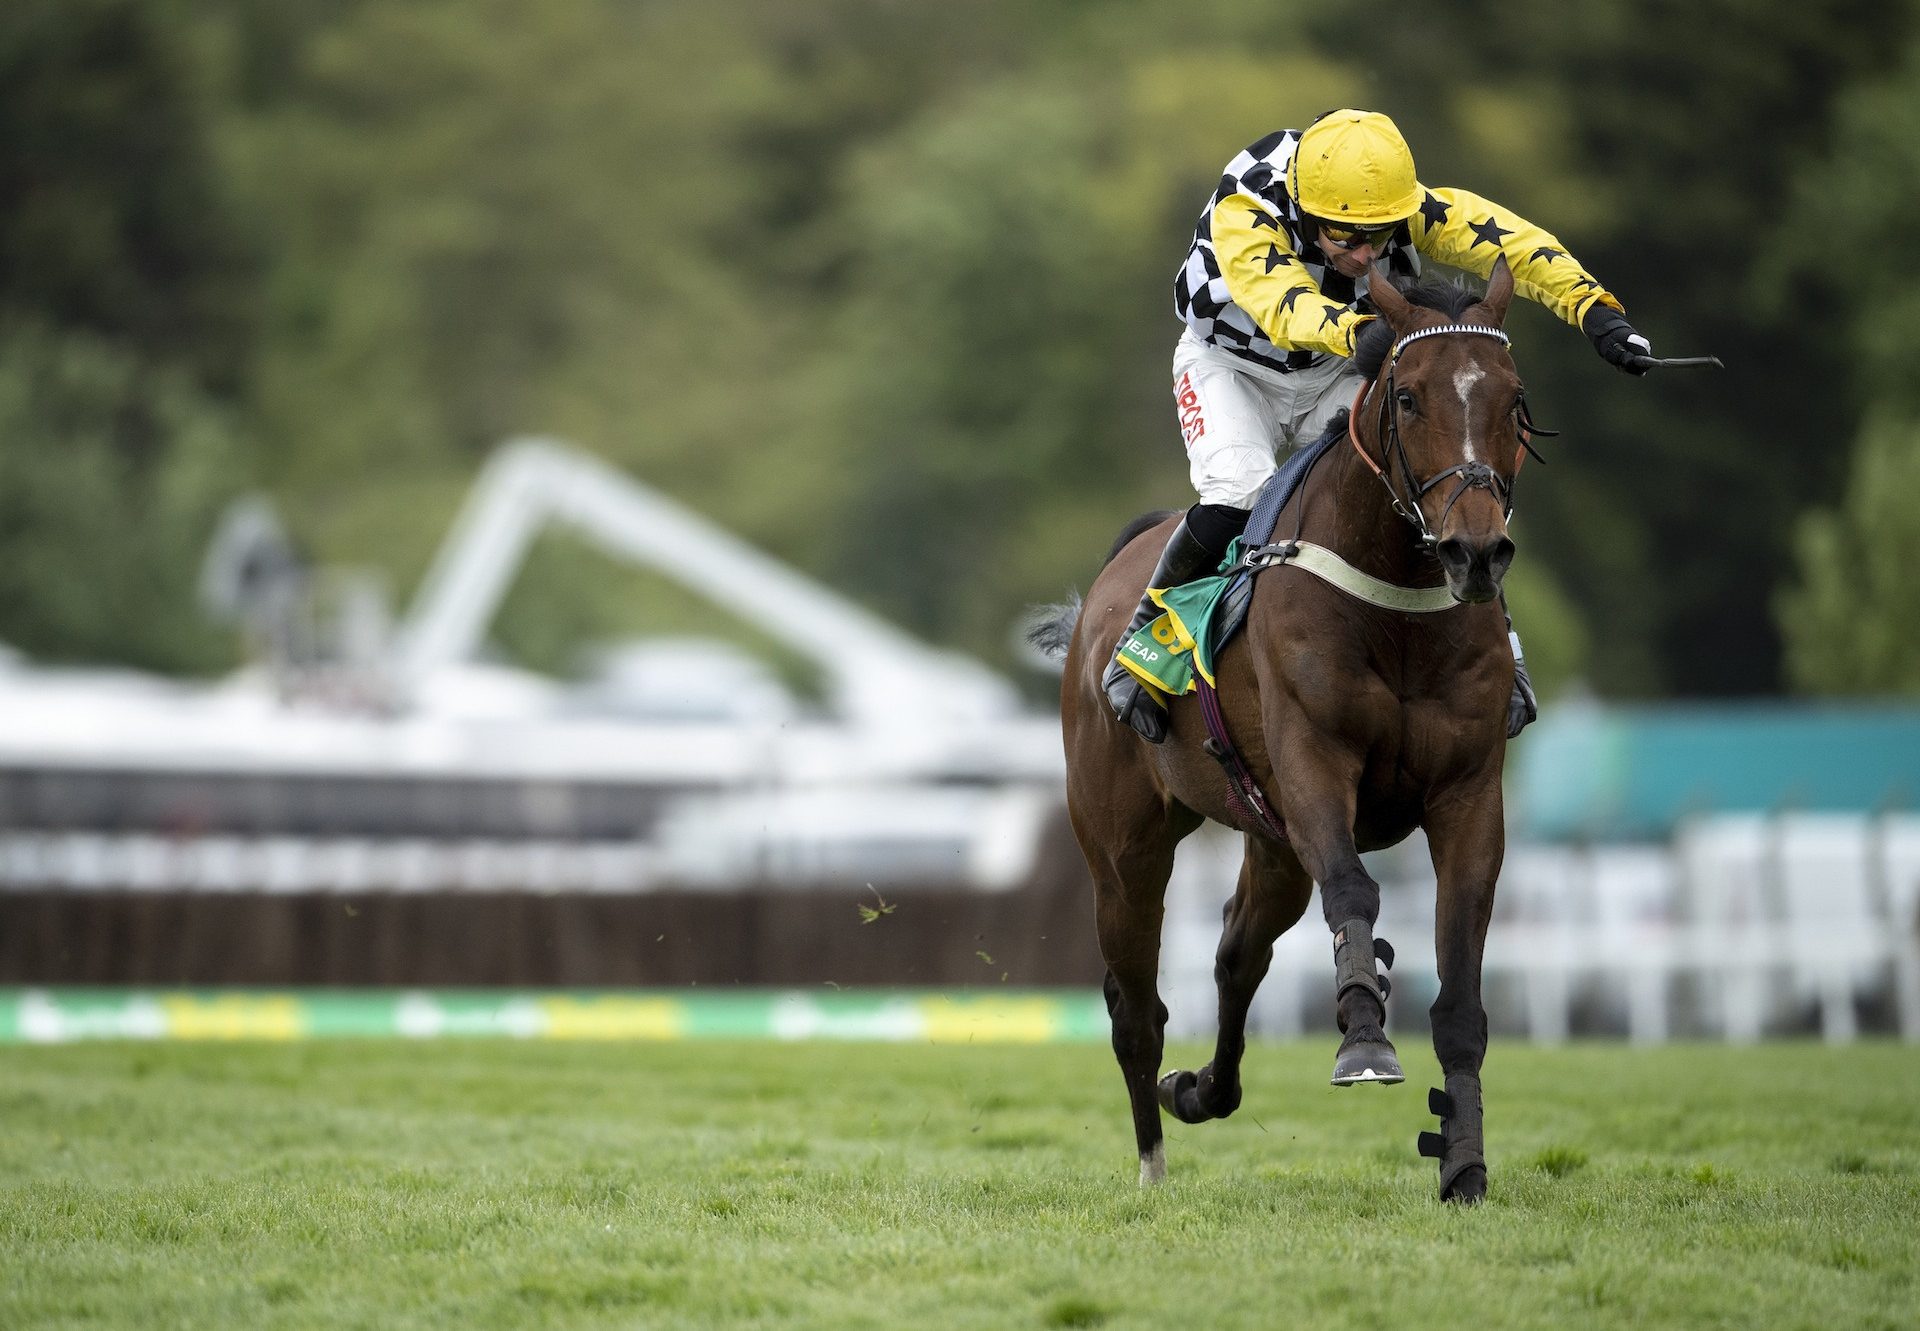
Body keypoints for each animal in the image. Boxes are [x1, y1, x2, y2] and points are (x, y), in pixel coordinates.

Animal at [1036, 257, 1528, 1190]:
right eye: (1407, 395)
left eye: (1514, 397)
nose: (1475, 551)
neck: (1396, 609)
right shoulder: (1313, 765)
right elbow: (1355, 889)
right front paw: (1366, 1042)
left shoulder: (1469, 794)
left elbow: (1461, 992)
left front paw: (1464, 1162)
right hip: (1125, 846)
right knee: (1135, 1004)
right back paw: (1152, 1161)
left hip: (1269, 841)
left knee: (1237, 955)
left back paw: (1200, 1089)